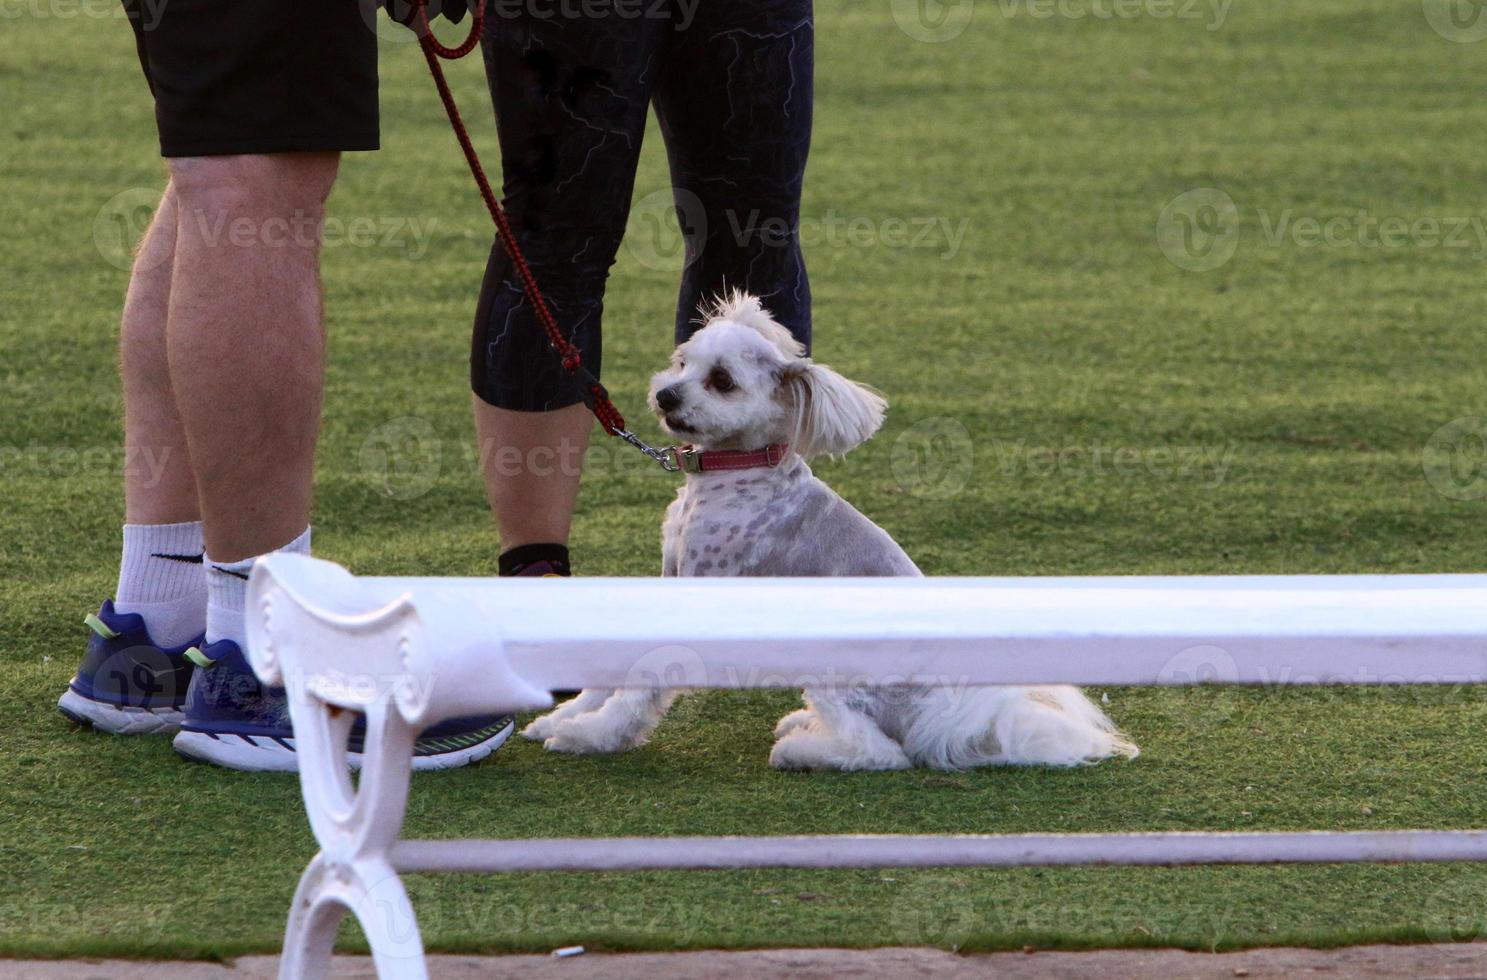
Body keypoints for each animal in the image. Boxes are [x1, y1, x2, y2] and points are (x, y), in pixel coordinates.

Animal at [523, 295, 1136, 773]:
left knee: (881, 752)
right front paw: (564, 717)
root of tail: (956, 714)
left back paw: (799, 750)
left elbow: (644, 680)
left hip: (835, 669)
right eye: (681, 361)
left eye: (721, 381)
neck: (735, 473)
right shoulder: (670, 577)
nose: (667, 395)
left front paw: (589, 736)